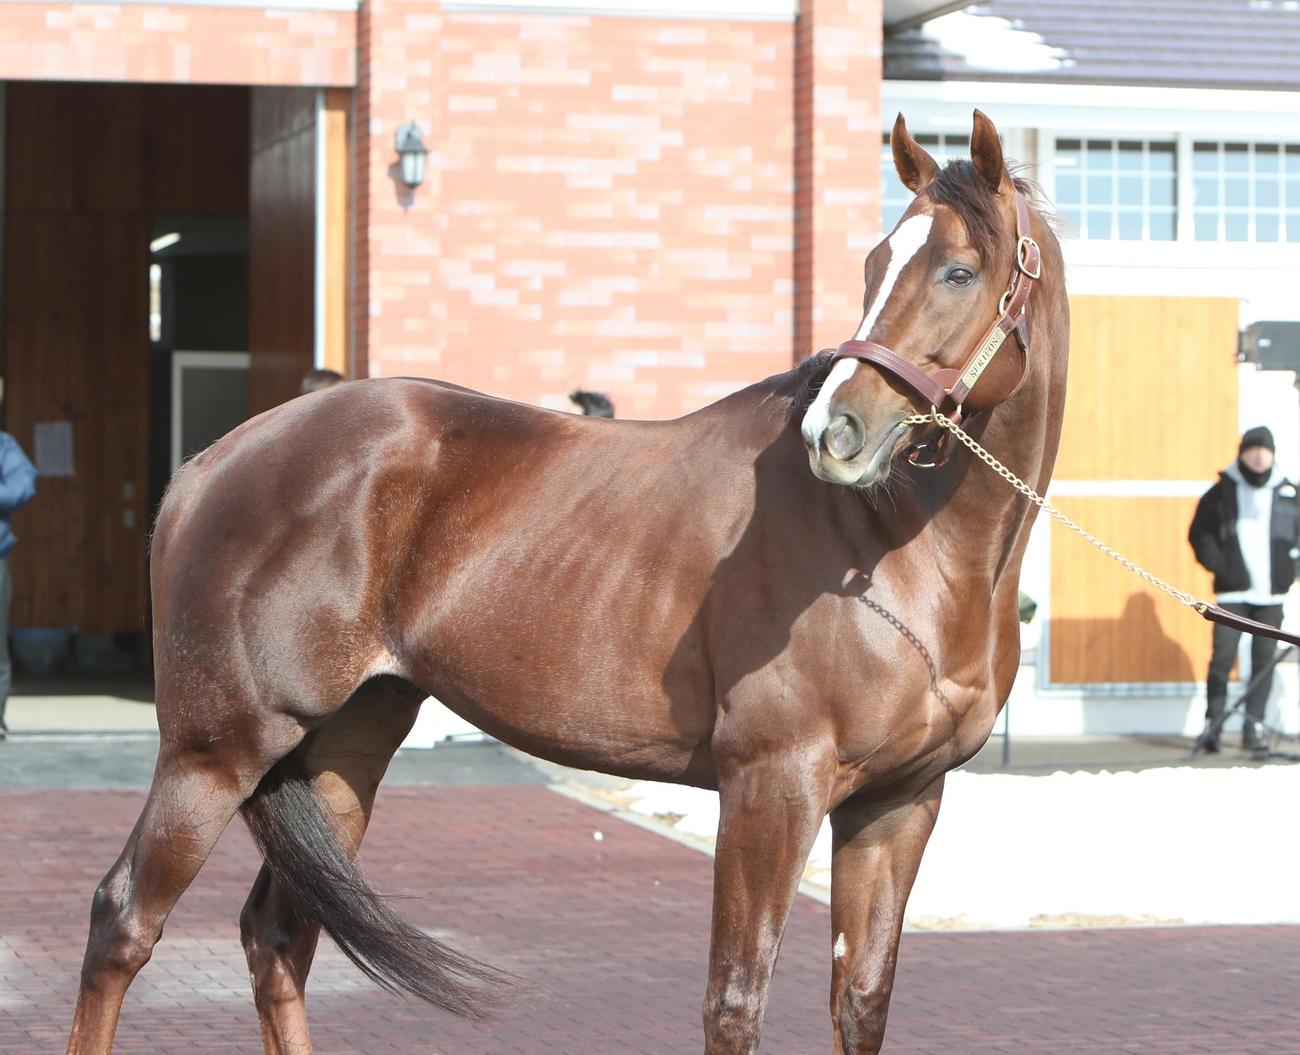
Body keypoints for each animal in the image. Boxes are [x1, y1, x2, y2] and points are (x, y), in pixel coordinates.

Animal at [65, 109, 1068, 1055]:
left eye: (959, 272)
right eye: (875, 264)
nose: (838, 432)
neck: (897, 545)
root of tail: (206, 467)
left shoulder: (897, 803)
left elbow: (860, 1004)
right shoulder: (770, 786)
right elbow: (734, 1002)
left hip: (344, 745)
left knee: (278, 936)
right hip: (215, 751)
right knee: (124, 921)